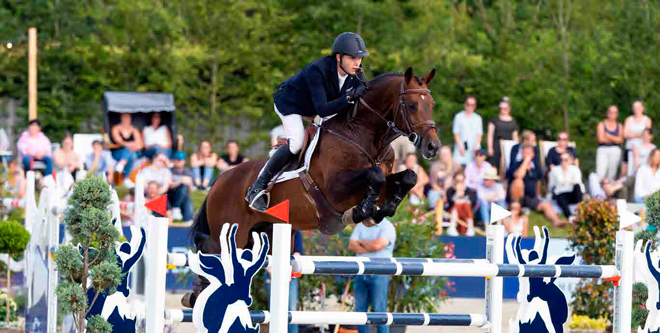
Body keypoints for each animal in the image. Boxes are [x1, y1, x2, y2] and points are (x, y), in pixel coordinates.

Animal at [186, 67, 440, 306]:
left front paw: (383, 210)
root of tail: (219, 181)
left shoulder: (383, 181)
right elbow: (374, 176)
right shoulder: (336, 191)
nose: (433, 147)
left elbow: (408, 177)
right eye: (411, 105)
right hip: (232, 233)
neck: (364, 136)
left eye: (432, 105)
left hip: (264, 233)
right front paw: (363, 211)